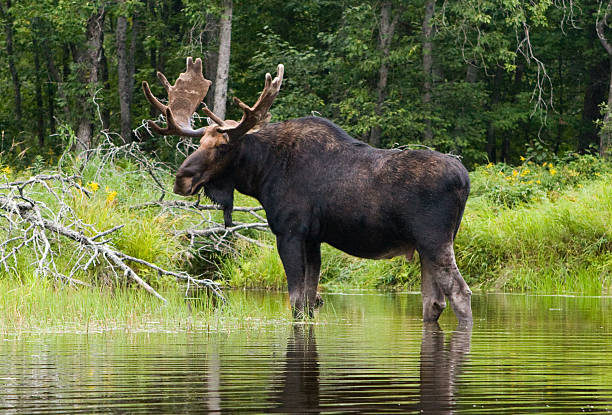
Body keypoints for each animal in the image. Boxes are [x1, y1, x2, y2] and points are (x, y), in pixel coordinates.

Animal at [142, 57, 474, 324]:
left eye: (223, 146)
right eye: (199, 143)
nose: (181, 179)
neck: (262, 173)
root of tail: (465, 180)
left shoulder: (289, 231)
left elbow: (296, 302)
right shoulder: (314, 238)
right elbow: (311, 301)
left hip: (434, 240)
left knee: (461, 294)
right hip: (427, 246)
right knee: (433, 302)